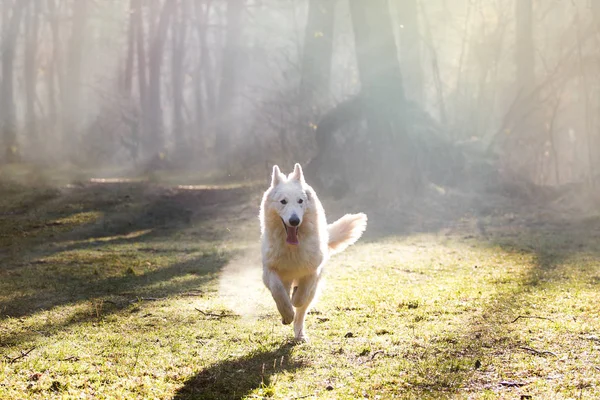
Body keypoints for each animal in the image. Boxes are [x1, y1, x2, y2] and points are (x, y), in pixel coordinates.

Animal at [260, 162, 368, 340]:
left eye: (300, 201)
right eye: (283, 201)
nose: (294, 220)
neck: (292, 247)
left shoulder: (312, 271)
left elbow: (301, 297)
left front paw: (295, 300)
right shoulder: (270, 270)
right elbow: (278, 291)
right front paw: (286, 313)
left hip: (314, 289)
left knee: (302, 312)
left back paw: (300, 334)